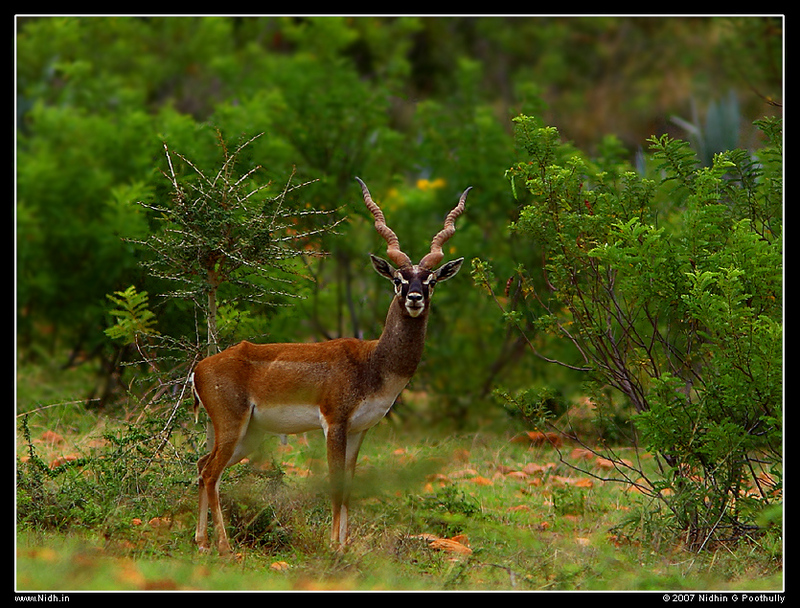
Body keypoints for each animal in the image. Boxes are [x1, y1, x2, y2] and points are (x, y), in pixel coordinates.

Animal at [192, 176, 468, 556]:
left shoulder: (358, 431)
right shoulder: (334, 424)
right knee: (210, 473)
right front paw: (334, 548)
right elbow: (335, 487)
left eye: (431, 280)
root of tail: (200, 368)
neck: (372, 363)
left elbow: (349, 489)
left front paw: (345, 545)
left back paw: (201, 541)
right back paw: (223, 545)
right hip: (232, 427)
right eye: (398, 279)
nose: (414, 297)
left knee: (202, 466)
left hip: (249, 435)